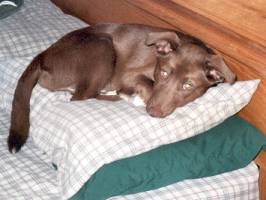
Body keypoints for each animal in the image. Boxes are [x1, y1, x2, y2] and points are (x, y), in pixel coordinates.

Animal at [7, 23, 236, 153]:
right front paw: (138, 97)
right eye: (163, 73)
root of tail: (42, 56)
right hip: (102, 45)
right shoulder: (130, 74)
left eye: (188, 85)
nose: (153, 112)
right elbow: (148, 85)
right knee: (81, 97)